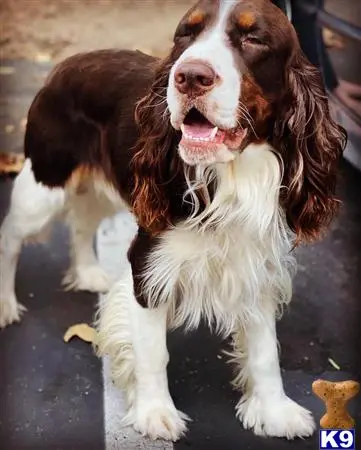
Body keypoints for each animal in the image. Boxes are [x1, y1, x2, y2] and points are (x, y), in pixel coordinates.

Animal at [0, 0, 346, 442]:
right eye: (186, 34)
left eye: (254, 38)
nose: (190, 76)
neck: (229, 176)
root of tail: (65, 63)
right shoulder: (147, 265)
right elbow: (152, 352)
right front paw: (154, 412)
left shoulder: (255, 262)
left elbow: (265, 350)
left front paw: (273, 410)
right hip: (44, 182)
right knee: (11, 236)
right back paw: (5, 303)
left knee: (82, 222)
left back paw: (88, 272)